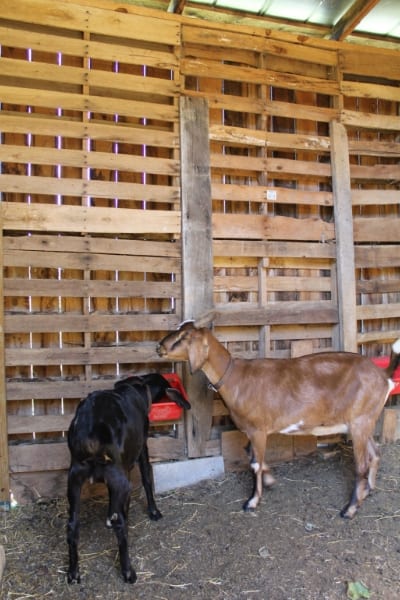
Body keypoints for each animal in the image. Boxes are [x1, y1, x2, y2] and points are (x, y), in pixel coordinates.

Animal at [67, 372, 189, 584]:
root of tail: (90, 434)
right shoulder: (141, 447)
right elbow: (147, 477)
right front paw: (154, 511)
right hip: (118, 478)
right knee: (118, 521)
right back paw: (128, 572)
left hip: (75, 476)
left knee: (73, 525)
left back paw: (73, 573)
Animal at [157, 314, 400, 520]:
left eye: (184, 336)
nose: (159, 347)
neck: (235, 376)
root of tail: (383, 375)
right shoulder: (251, 430)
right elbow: (250, 454)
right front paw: (270, 480)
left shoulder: (258, 429)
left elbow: (255, 463)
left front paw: (252, 501)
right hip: (364, 422)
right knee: (375, 453)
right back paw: (367, 492)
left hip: (360, 422)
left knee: (362, 464)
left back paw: (350, 509)